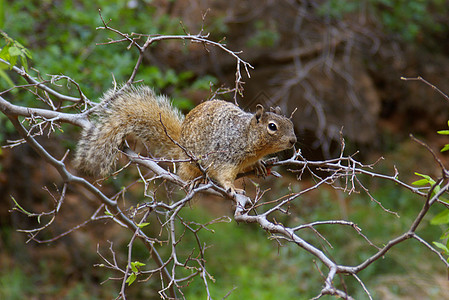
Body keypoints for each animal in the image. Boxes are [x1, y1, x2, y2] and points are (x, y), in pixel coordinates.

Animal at [75, 85, 296, 196]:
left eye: (290, 122)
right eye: (272, 127)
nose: (294, 141)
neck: (248, 136)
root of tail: (180, 145)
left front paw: (259, 166)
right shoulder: (226, 154)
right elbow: (224, 174)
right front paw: (232, 187)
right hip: (191, 163)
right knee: (185, 174)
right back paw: (197, 180)